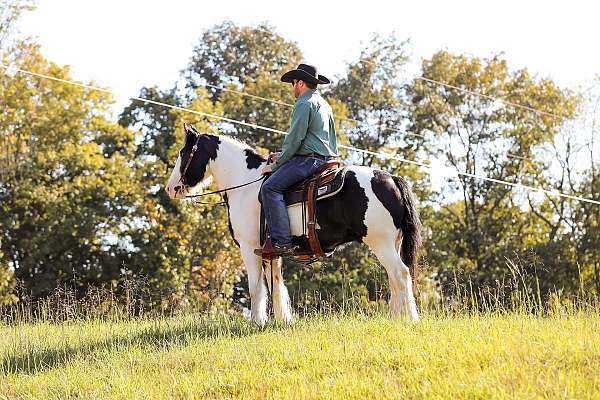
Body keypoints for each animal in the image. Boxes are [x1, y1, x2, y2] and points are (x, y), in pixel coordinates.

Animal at [165, 126, 422, 324]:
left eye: (184, 152)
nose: (170, 188)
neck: (246, 185)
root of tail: (391, 179)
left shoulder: (248, 247)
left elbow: (256, 287)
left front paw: (256, 322)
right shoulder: (270, 251)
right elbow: (275, 284)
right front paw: (282, 320)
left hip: (381, 243)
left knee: (400, 274)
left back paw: (409, 319)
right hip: (392, 243)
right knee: (394, 278)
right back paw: (396, 317)